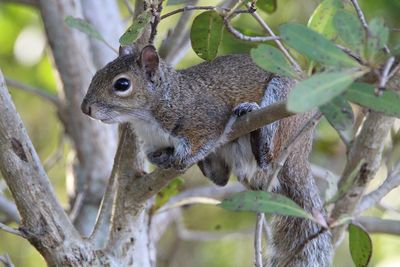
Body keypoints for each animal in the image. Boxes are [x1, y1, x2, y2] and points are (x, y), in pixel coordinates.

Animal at [80, 45, 332, 266]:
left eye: (122, 84)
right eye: (97, 74)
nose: (85, 109)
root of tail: (301, 153)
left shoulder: (206, 118)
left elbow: (205, 136)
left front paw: (183, 157)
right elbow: (155, 154)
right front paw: (161, 158)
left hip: (284, 102)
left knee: (267, 156)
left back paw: (252, 124)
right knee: (221, 178)